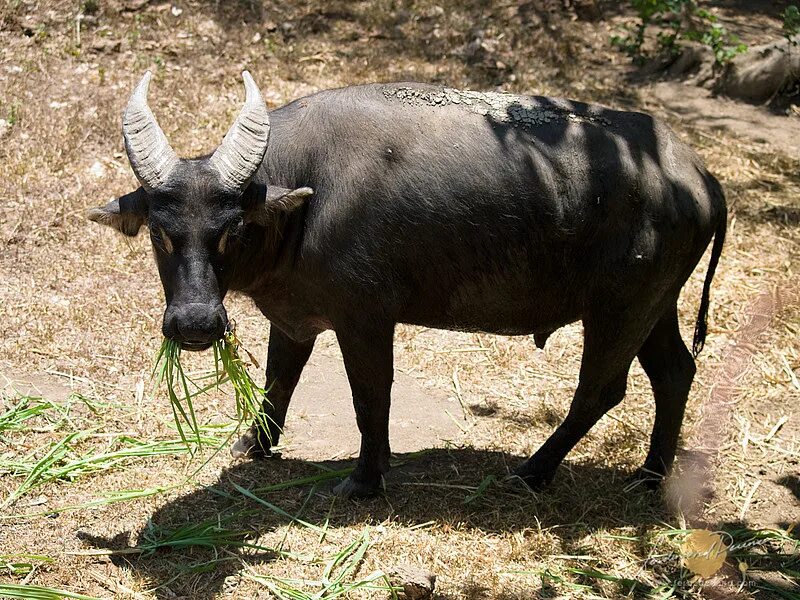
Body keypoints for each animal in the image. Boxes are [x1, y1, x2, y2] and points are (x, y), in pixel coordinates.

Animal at [90, 71, 728, 496]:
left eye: (233, 229)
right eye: (161, 233)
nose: (195, 324)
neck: (305, 204)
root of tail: (702, 176)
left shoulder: (365, 319)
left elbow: (371, 396)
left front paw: (365, 480)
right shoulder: (295, 319)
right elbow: (279, 382)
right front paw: (254, 444)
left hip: (621, 308)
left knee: (601, 389)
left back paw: (534, 470)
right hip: (655, 306)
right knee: (675, 372)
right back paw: (651, 475)